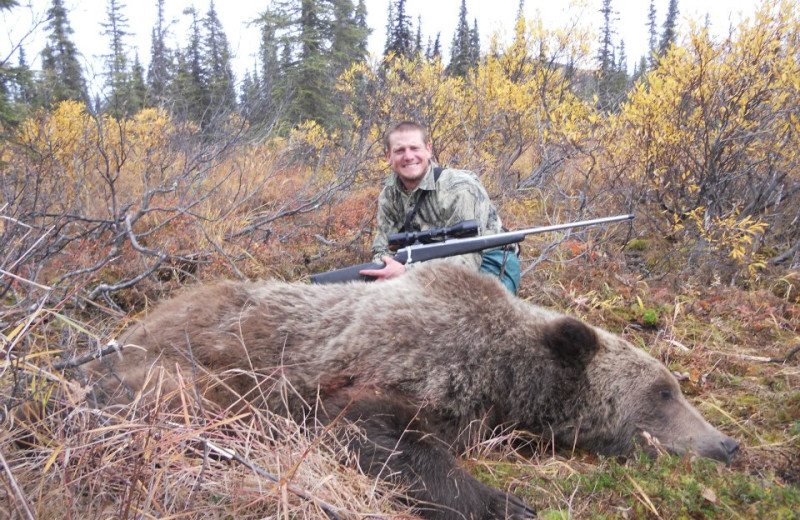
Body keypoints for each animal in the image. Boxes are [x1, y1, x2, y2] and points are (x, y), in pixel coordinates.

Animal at [79, 264, 736, 520]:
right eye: (664, 392)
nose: (727, 444)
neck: (503, 368)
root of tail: (121, 332)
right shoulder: (392, 368)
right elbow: (376, 435)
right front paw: (507, 502)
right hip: (176, 369)